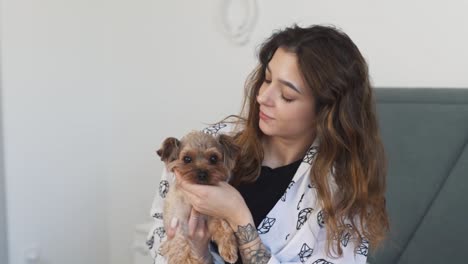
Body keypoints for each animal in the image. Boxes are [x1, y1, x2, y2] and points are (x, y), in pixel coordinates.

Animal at [157, 130, 239, 264]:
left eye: (213, 158)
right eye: (187, 159)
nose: (202, 173)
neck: (191, 203)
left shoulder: (211, 214)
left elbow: (223, 227)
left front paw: (229, 249)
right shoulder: (178, 226)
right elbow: (182, 247)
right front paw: (188, 260)